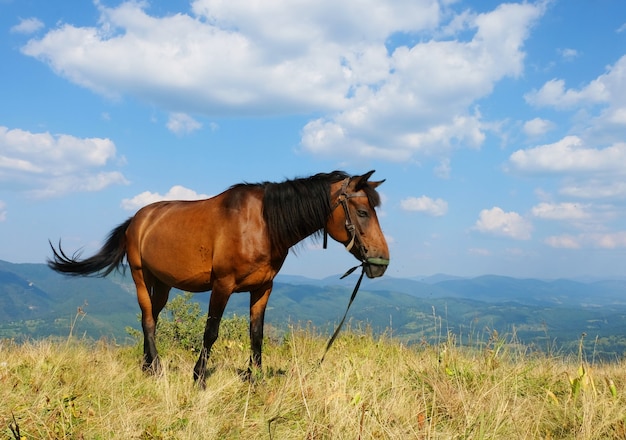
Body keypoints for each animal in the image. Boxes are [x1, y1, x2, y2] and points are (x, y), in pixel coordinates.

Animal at [48, 170, 388, 386]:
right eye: (362, 212)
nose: (381, 262)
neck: (263, 224)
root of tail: (137, 219)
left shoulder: (263, 289)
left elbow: (256, 334)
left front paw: (255, 379)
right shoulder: (222, 286)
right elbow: (210, 332)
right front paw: (198, 378)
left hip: (163, 283)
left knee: (151, 319)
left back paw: (147, 366)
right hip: (140, 276)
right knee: (147, 320)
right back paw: (156, 369)